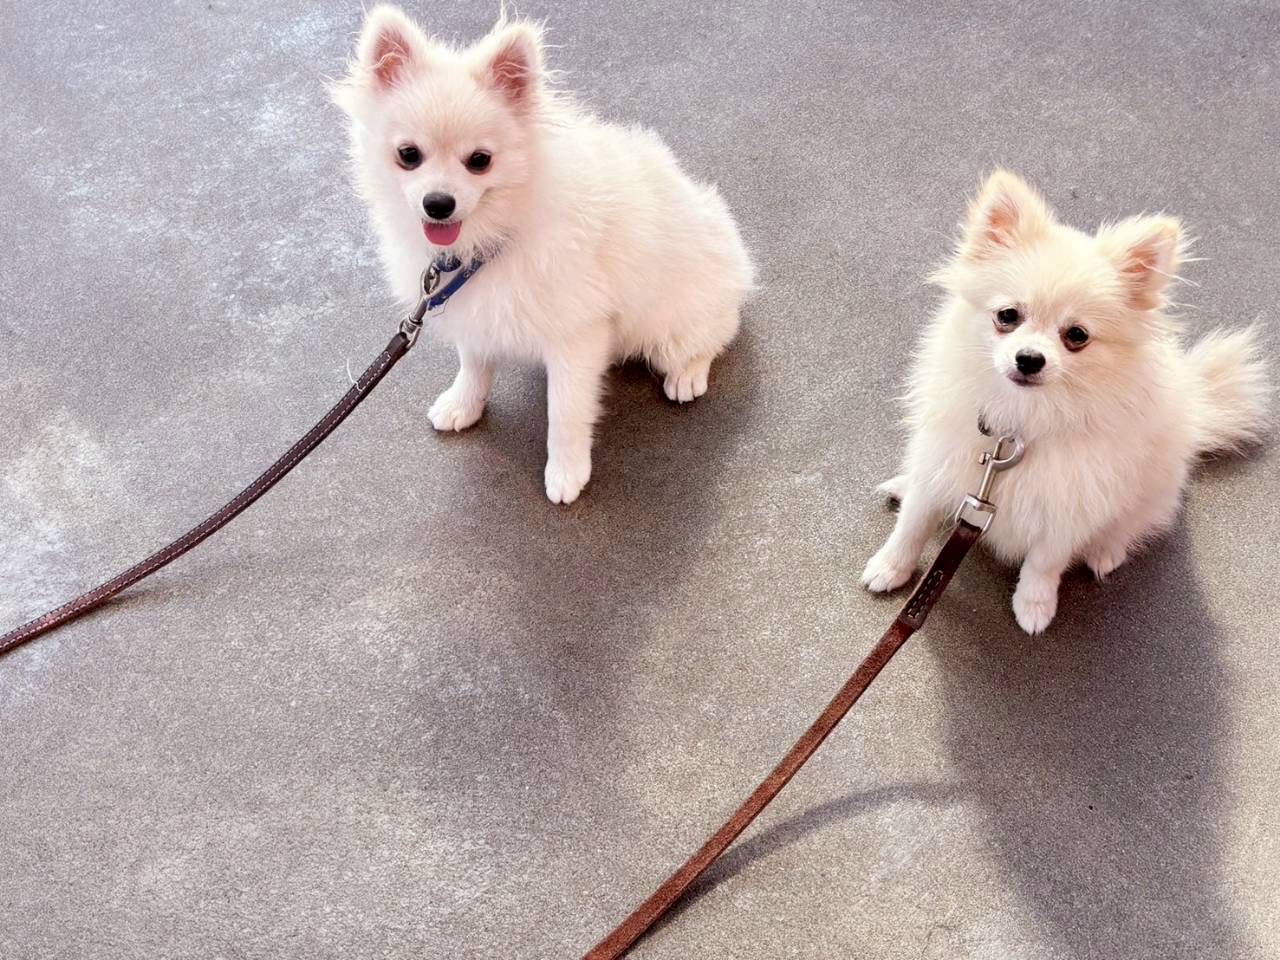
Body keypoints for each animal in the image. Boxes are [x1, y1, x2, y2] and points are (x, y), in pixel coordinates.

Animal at [333, 6, 754, 504]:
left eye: (480, 161)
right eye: (408, 154)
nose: (438, 203)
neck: (495, 233)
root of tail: (736, 257)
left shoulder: (577, 335)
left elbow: (566, 413)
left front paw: (567, 471)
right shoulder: (477, 309)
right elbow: (473, 365)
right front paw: (464, 404)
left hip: (677, 324)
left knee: (713, 337)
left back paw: (687, 374)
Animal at [862, 170, 1269, 634]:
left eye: (1077, 335)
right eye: (1007, 316)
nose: (1029, 359)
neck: (1019, 426)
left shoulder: (1072, 504)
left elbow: (1045, 562)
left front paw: (1034, 604)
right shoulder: (940, 458)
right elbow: (912, 523)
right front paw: (891, 566)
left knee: (1131, 524)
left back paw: (1106, 550)